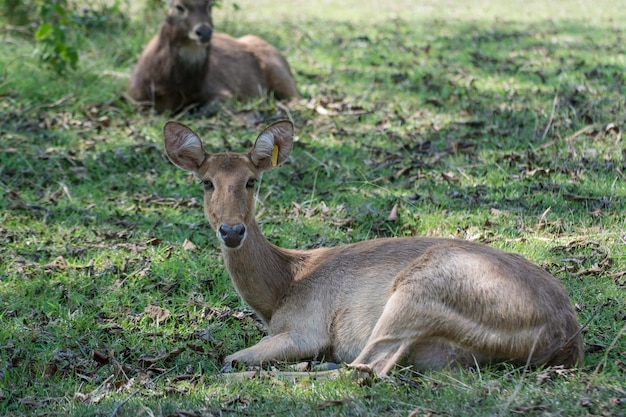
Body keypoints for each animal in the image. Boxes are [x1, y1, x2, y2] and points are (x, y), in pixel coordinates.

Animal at [127, 0, 298, 114]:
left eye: (210, 5)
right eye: (179, 6)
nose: (204, 32)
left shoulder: (223, 92)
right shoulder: (136, 97)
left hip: (278, 70)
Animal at [163, 119, 584, 374]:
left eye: (252, 180)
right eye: (206, 182)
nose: (232, 230)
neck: (283, 288)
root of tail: (565, 336)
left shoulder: (307, 328)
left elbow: (231, 357)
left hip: (418, 293)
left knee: (364, 368)